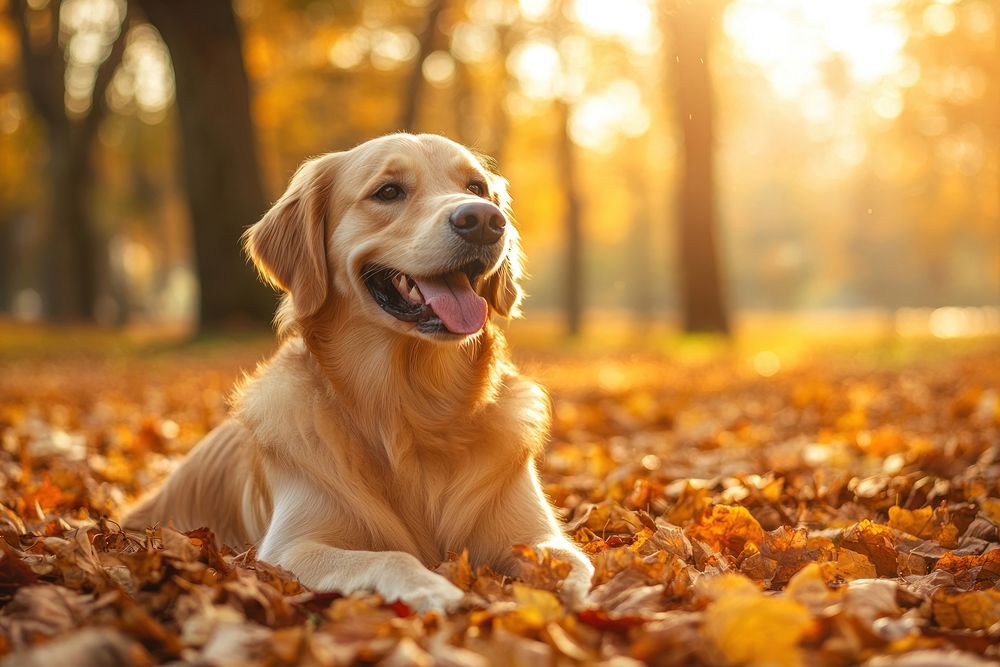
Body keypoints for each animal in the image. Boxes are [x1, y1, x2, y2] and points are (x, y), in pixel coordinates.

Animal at [125, 133, 592, 612]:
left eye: (476, 187)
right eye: (388, 192)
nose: (483, 220)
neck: (415, 407)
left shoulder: (537, 533)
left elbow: (574, 565)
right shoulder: (292, 546)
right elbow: (390, 555)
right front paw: (432, 586)